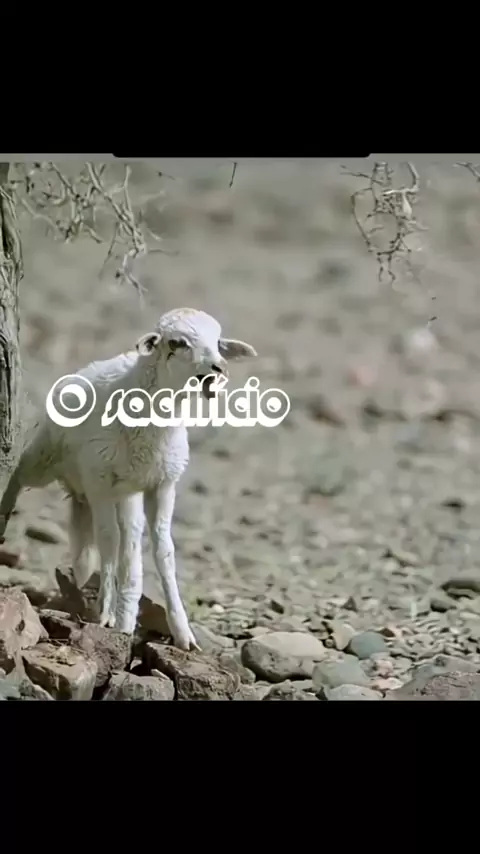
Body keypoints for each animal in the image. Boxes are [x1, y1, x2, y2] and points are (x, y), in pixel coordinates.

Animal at [0, 307, 257, 650]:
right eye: (177, 343)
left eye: (218, 343)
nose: (219, 367)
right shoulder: (99, 480)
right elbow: (108, 539)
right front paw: (107, 612)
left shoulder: (163, 485)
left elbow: (163, 552)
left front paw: (182, 632)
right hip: (49, 458)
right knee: (21, 475)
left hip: (126, 492)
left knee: (128, 541)